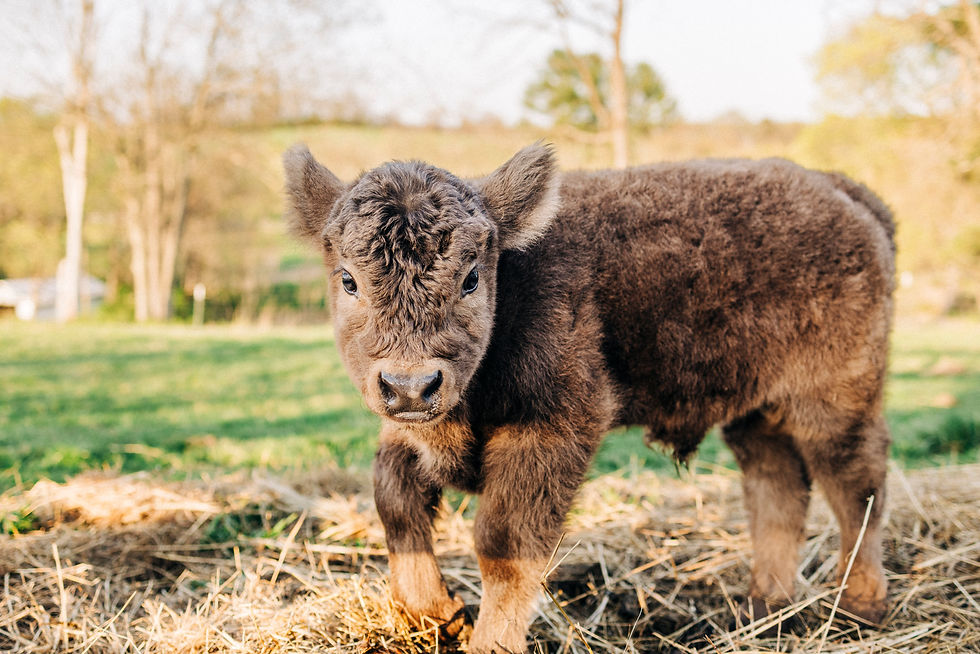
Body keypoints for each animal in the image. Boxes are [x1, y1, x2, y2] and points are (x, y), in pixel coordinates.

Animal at [283, 143, 894, 653]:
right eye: (348, 280)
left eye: (472, 277)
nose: (411, 384)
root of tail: (847, 192)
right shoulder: (409, 434)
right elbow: (394, 498)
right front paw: (436, 614)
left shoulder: (553, 430)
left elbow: (505, 545)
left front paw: (487, 641)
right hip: (755, 410)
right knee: (778, 489)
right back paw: (764, 606)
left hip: (836, 402)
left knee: (855, 489)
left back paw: (860, 607)